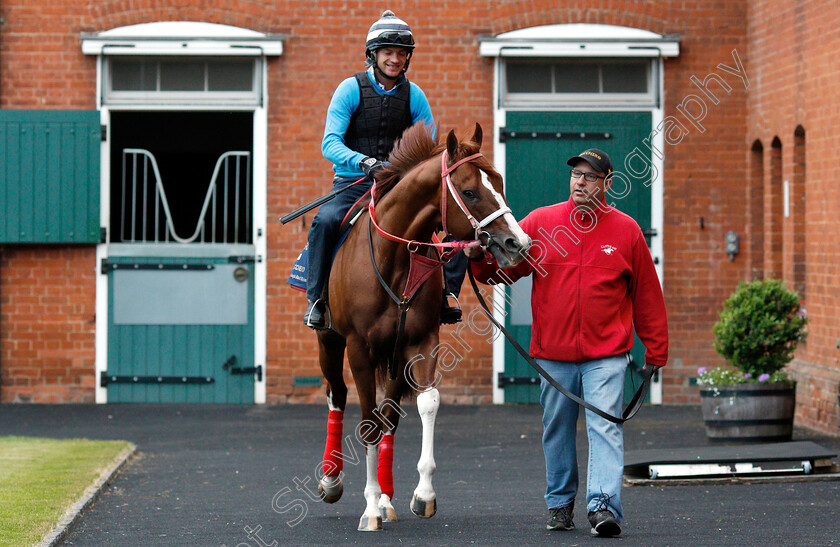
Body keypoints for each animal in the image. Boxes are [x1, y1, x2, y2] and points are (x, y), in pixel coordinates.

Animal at [316, 123, 532, 532]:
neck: (395, 260)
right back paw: (332, 480)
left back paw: (386, 499)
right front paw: (369, 510)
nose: (518, 242)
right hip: (330, 341)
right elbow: (367, 421)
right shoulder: (359, 349)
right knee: (337, 394)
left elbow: (425, 403)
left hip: (394, 356)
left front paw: (421, 494)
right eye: (469, 191)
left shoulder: (420, 342)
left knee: (389, 416)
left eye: (498, 181)